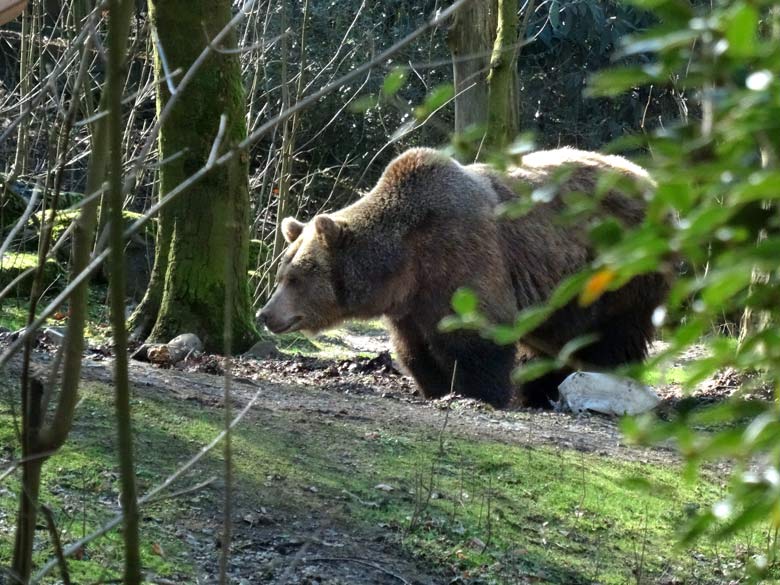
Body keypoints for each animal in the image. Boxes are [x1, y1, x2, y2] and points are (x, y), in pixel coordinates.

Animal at [258, 148, 668, 408]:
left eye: (295, 277)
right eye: (281, 273)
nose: (266, 313)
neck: (403, 265)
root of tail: (649, 179)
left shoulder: (461, 258)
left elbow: (478, 338)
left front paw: (479, 393)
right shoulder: (410, 305)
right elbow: (415, 350)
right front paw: (436, 388)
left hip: (619, 270)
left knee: (612, 334)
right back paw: (541, 391)